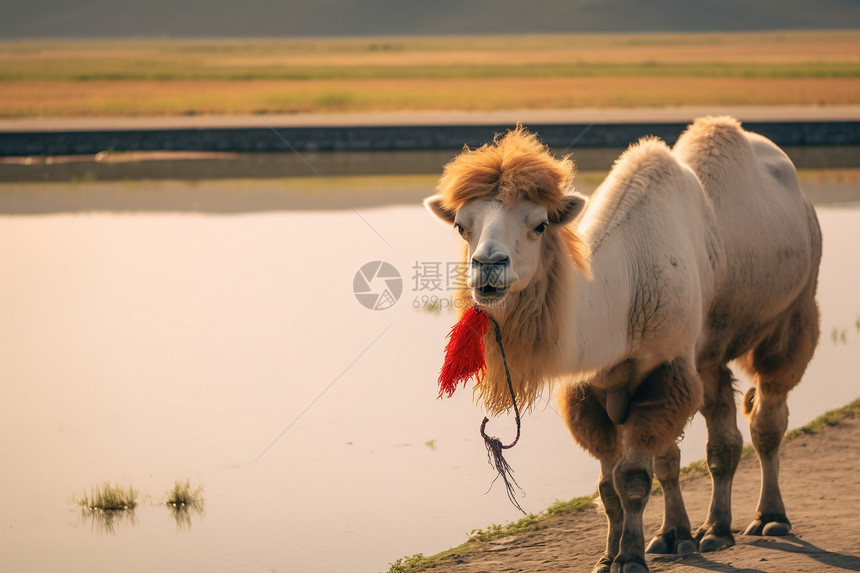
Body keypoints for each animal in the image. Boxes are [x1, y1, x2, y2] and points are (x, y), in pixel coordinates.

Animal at [426, 116, 824, 572]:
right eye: (462, 225)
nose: (488, 266)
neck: (624, 291)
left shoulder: (665, 367)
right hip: (706, 351)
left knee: (769, 411)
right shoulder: (591, 386)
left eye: (539, 225)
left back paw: (769, 519)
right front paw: (618, 553)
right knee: (717, 432)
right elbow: (611, 484)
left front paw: (630, 557)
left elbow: (632, 477)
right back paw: (706, 533)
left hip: (795, 304)